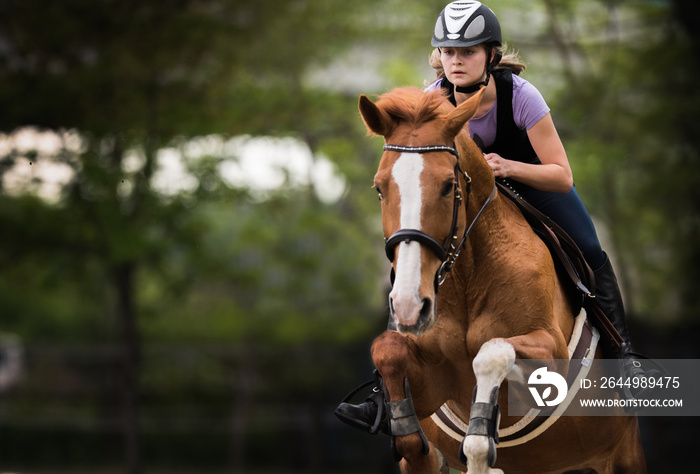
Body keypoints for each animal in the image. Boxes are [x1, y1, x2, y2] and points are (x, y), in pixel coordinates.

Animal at [360, 87, 644, 472]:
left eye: (448, 186)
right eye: (379, 189)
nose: (408, 305)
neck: (466, 280)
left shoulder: (552, 354)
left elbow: (490, 354)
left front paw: (481, 442)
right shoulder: (432, 382)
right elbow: (388, 351)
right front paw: (408, 434)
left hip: (622, 455)